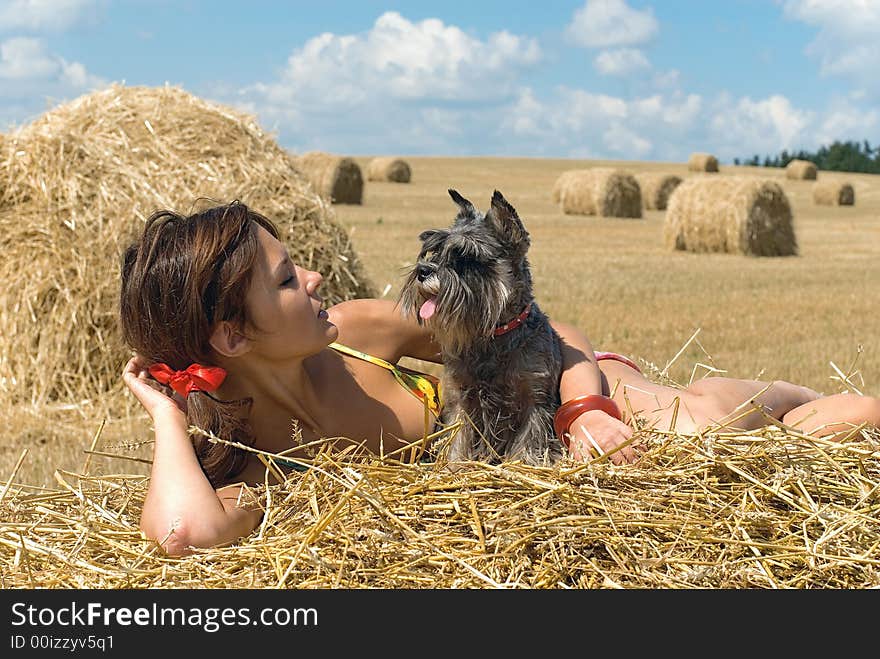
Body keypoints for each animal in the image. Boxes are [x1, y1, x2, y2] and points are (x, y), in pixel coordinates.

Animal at [398, 188, 564, 466]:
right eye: (433, 252)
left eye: (466, 258)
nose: (422, 271)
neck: (493, 336)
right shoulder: (461, 399)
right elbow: (458, 439)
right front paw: (453, 467)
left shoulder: (535, 400)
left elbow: (527, 444)